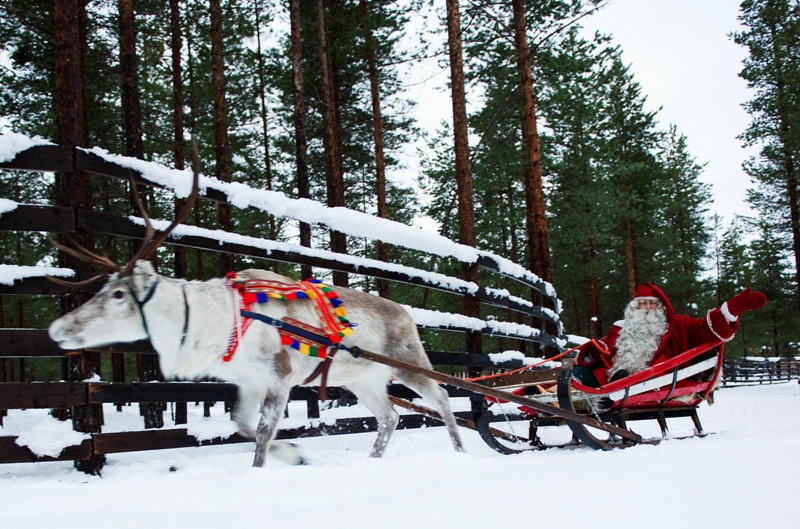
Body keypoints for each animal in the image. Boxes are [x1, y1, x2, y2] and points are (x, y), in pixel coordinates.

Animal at [47, 148, 465, 468]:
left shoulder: (280, 372)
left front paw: (265, 467)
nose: (58, 329)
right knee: (390, 416)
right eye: (104, 287)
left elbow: (262, 431)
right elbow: (241, 425)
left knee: (443, 398)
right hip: (363, 379)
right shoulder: (247, 379)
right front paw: (294, 455)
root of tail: (408, 314)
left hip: (407, 361)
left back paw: (463, 451)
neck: (217, 324)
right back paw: (373, 459)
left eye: (119, 294)